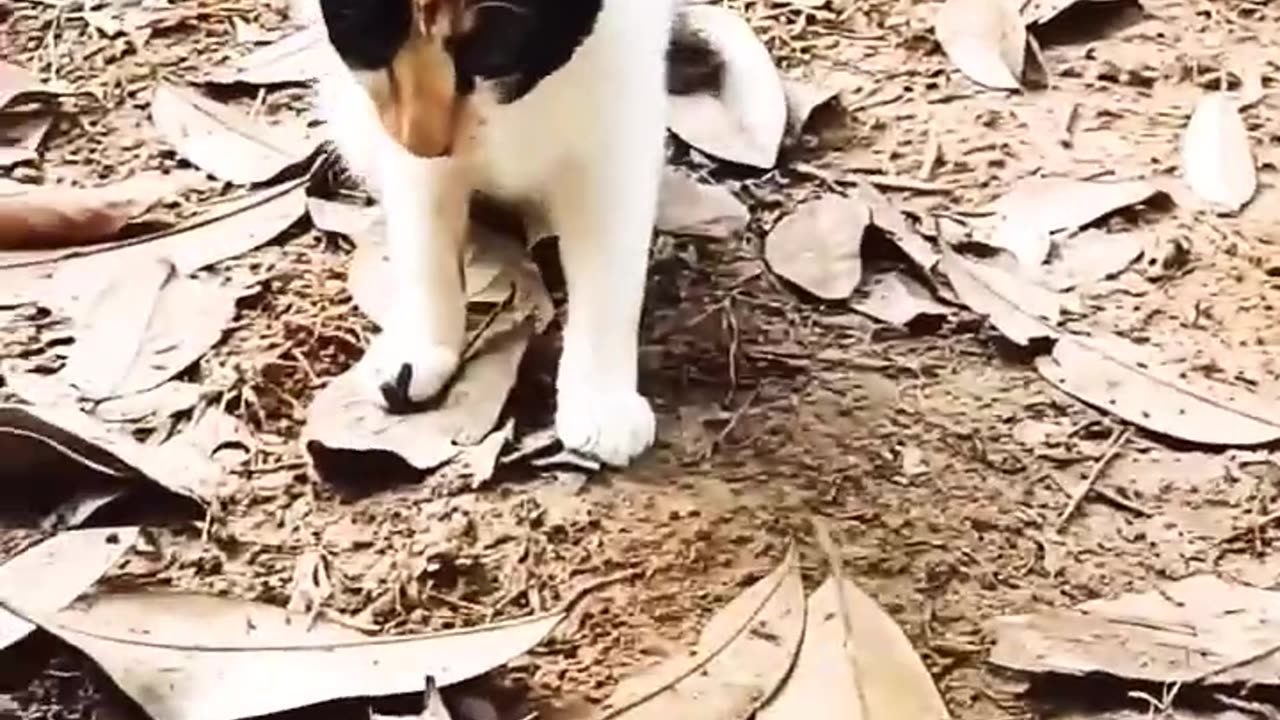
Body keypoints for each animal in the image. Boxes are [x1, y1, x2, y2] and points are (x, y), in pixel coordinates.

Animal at [312, 0, 680, 466]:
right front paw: (418, 344)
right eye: (367, 30)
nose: (423, 143)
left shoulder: (624, 90)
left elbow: (610, 256)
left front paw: (602, 399)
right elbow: (423, 226)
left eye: (497, 42)